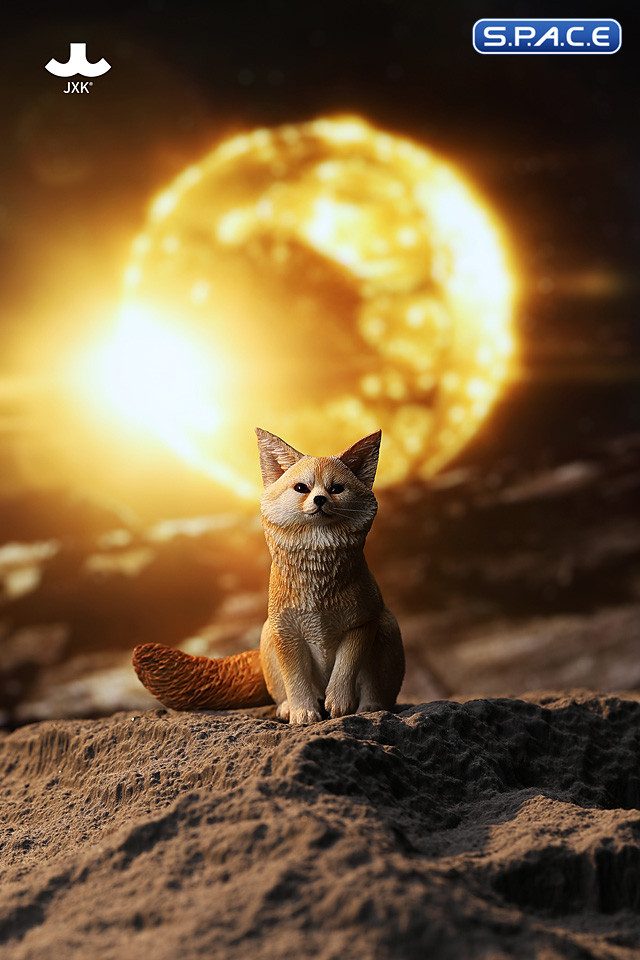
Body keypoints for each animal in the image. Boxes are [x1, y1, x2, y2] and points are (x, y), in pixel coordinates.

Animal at [133, 428, 404, 724]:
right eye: (302, 488)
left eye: (336, 489)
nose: (320, 499)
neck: (319, 592)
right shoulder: (285, 631)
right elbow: (295, 680)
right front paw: (303, 712)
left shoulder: (362, 623)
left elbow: (345, 669)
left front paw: (340, 704)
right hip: (267, 636)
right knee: (284, 692)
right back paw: (287, 709)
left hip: (387, 629)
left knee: (376, 691)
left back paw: (369, 708)